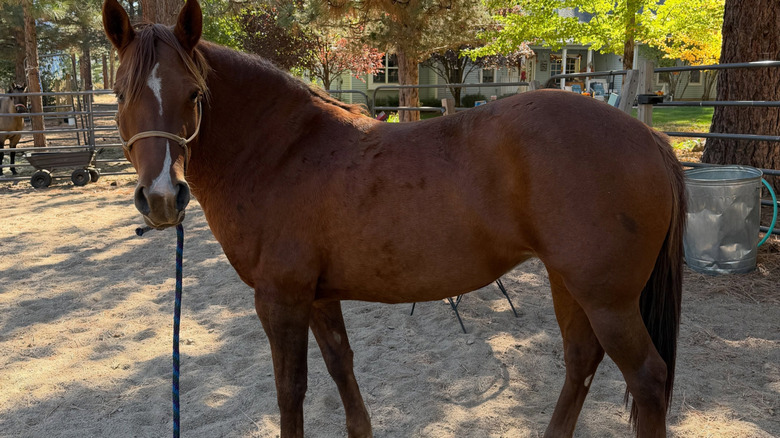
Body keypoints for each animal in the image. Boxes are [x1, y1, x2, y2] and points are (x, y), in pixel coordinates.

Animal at [102, 0, 686, 436]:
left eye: (194, 94)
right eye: (120, 91)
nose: (162, 198)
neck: (281, 151)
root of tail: (650, 139)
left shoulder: (280, 300)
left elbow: (291, 391)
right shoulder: (319, 297)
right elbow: (342, 367)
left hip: (607, 299)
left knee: (647, 378)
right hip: (570, 283)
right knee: (581, 361)